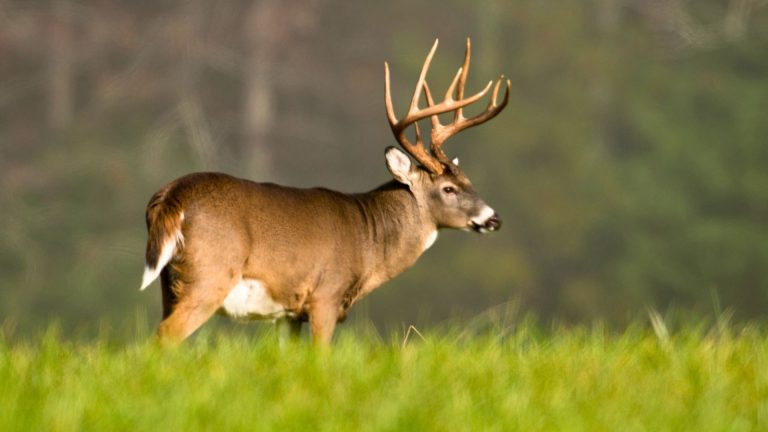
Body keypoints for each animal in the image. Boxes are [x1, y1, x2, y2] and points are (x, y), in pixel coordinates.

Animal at [139, 39, 510, 345]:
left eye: (469, 181)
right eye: (448, 188)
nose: (494, 219)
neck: (368, 240)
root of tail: (171, 196)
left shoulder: (288, 314)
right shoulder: (325, 296)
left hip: (169, 285)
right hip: (208, 276)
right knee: (164, 337)